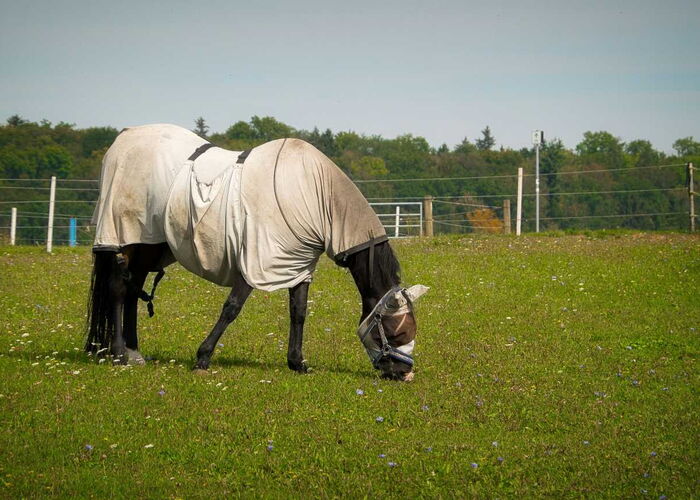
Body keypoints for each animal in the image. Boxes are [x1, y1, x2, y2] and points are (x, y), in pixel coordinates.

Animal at [86, 124, 428, 380]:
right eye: (397, 332)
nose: (404, 375)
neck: (315, 195)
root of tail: (124, 138)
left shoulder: (298, 266)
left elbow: (298, 312)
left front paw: (297, 362)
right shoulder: (253, 264)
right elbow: (232, 308)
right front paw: (203, 358)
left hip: (151, 244)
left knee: (132, 290)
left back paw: (134, 352)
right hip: (126, 237)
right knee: (118, 288)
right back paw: (119, 354)